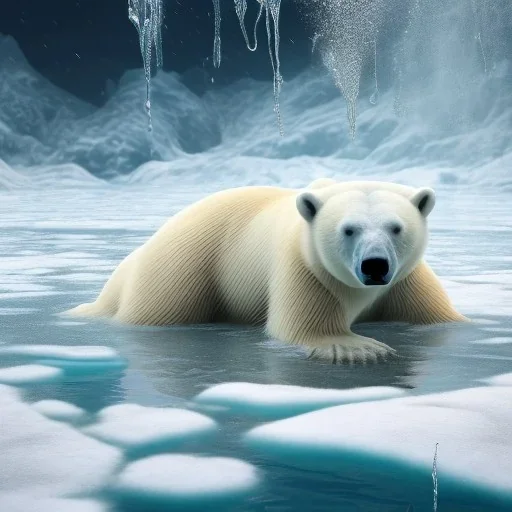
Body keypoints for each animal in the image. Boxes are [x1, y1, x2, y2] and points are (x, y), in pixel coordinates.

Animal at [66, 180, 466, 364]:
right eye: (348, 229)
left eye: (396, 228)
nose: (375, 266)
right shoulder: (302, 266)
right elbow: (305, 326)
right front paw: (359, 348)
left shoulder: (407, 280)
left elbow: (438, 317)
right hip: (185, 266)